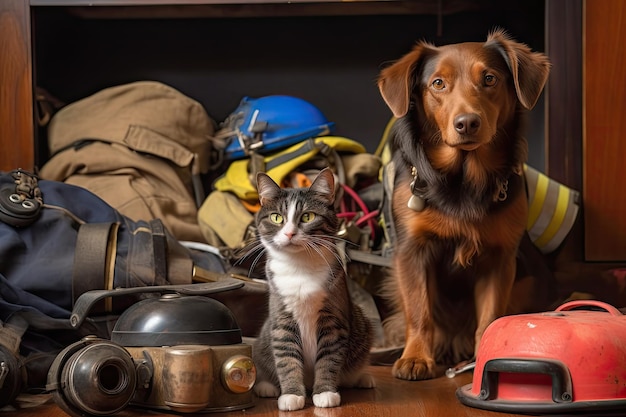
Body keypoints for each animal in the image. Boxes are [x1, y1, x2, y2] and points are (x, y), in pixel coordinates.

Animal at [250, 167, 376, 408]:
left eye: (307, 216)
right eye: (277, 218)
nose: (289, 233)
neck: (300, 267)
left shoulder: (333, 320)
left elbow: (328, 360)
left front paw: (325, 392)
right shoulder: (282, 320)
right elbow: (286, 359)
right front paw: (291, 395)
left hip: (362, 326)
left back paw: (363, 378)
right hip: (263, 336)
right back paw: (265, 386)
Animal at [376, 30, 544, 380]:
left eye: (490, 79)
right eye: (438, 83)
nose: (467, 123)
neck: (463, 181)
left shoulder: (499, 258)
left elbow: (491, 318)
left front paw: (483, 357)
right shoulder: (411, 252)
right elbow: (420, 312)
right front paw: (416, 357)